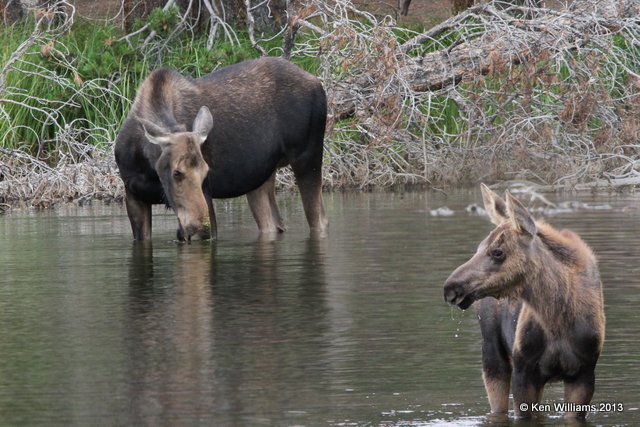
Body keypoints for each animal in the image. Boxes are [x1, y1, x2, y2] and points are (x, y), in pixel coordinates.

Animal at [114, 56, 330, 241]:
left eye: (206, 172)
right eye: (177, 173)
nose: (200, 226)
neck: (146, 165)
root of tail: (318, 83)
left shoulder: (207, 195)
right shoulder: (133, 195)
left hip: (307, 157)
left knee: (319, 220)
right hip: (261, 177)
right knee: (273, 224)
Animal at [444, 185, 604, 422]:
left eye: (497, 252)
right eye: (478, 247)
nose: (450, 288)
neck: (557, 320)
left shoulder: (583, 373)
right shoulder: (525, 372)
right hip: (492, 355)